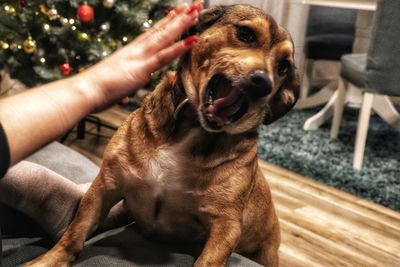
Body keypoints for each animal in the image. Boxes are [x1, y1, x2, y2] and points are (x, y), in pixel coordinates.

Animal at [24, 4, 296, 267]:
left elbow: (209, 260)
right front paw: (47, 260)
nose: (264, 84)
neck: (194, 127)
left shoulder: (226, 226)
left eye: (283, 67)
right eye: (245, 34)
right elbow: (75, 232)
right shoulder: (105, 187)